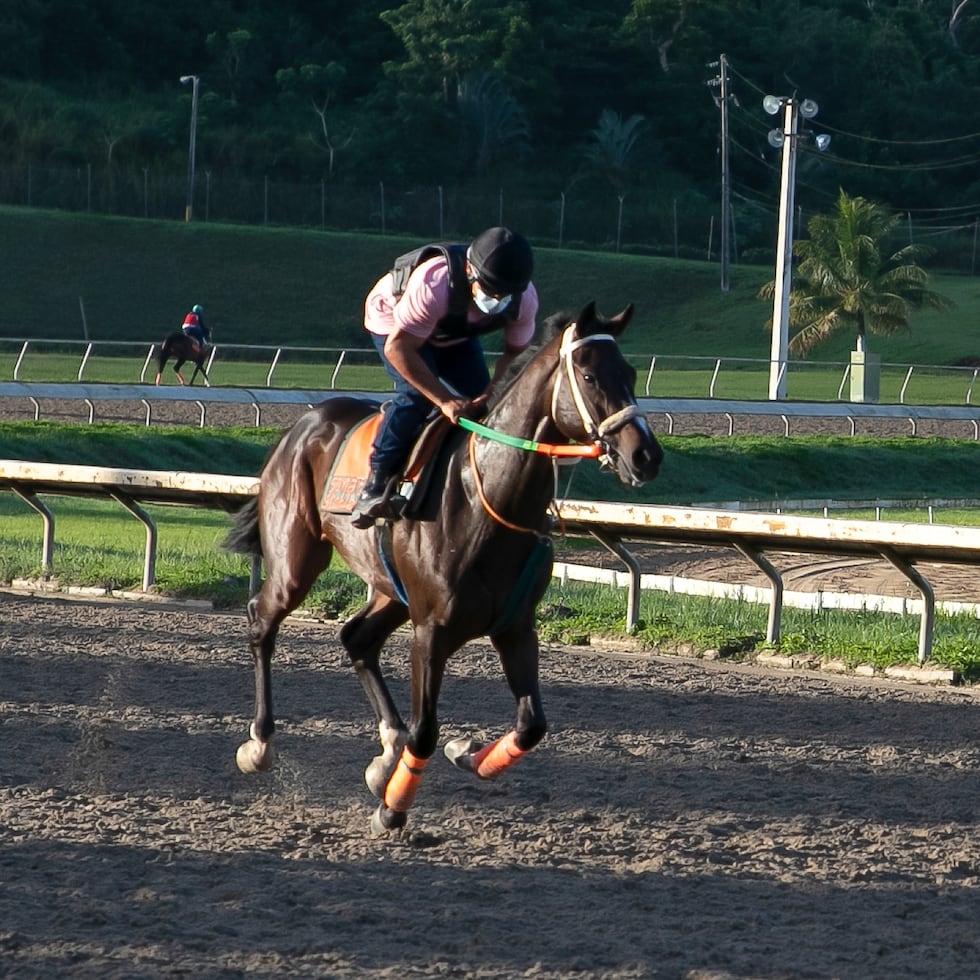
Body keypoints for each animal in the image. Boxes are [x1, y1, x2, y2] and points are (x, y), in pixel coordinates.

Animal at [226, 300, 664, 836]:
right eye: (589, 375)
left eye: (630, 374)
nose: (646, 455)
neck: (489, 498)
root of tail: (302, 423)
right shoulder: (431, 631)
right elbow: (426, 732)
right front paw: (392, 810)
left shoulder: (517, 627)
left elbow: (531, 725)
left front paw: (466, 753)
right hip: (297, 558)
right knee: (262, 620)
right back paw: (260, 743)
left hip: (390, 588)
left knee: (357, 638)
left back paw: (384, 754)